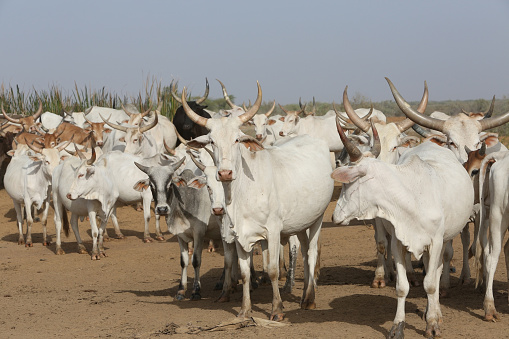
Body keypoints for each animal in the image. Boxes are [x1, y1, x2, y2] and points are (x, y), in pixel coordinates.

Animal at [181, 82, 336, 322]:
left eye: (237, 139)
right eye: (212, 141)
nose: (225, 173)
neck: (243, 192)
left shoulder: (272, 231)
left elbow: (272, 269)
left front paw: (277, 309)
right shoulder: (239, 234)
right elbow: (245, 273)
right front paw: (245, 310)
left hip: (317, 219)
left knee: (311, 253)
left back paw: (310, 298)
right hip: (300, 222)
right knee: (302, 250)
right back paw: (303, 296)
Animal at [332, 116, 474, 338]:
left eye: (349, 183)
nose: (334, 216)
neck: (411, 197)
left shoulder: (435, 242)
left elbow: (430, 284)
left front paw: (432, 323)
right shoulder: (398, 243)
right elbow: (401, 286)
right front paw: (397, 326)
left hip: (445, 239)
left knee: (437, 272)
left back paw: (435, 312)